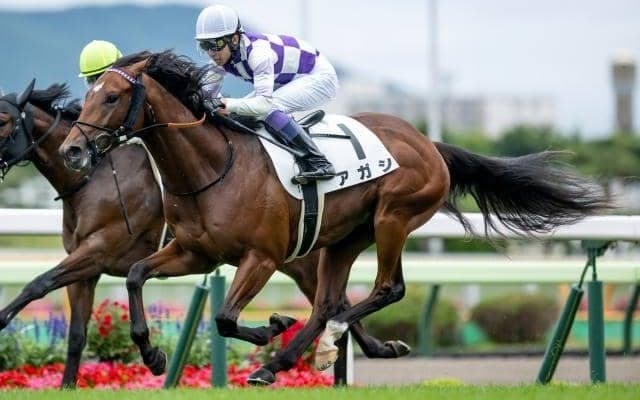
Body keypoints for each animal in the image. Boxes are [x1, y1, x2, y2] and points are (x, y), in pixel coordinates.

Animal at [0, 80, 409, 387]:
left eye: (3, 119)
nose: (72, 151)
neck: (94, 179)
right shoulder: (89, 268)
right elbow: (75, 334)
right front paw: (68, 385)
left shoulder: (97, 252)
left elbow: (38, 283)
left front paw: (3, 318)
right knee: (333, 304)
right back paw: (368, 353)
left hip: (300, 262)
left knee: (332, 304)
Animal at [58, 50, 609, 385]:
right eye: (85, 97)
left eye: (111, 96)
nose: (72, 151)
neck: (212, 168)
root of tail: (429, 144)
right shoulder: (194, 252)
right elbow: (134, 274)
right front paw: (152, 356)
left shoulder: (261, 257)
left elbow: (225, 317)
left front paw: (271, 326)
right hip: (343, 238)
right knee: (328, 302)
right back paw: (290, 359)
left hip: (393, 218)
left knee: (384, 290)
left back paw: (312, 349)